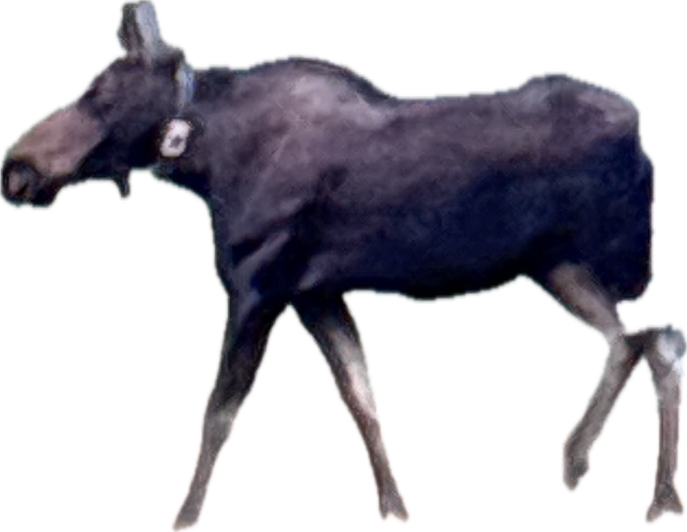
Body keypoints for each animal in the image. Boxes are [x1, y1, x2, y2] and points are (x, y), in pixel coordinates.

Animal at [1, 1, 684, 530]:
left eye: (98, 94)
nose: (16, 167)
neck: (207, 160)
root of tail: (638, 131)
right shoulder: (316, 294)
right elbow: (361, 396)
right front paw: (396, 511)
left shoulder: (257, 287)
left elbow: (218, 412)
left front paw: (184, 519)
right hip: (558, 267)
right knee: (652, 337)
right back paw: (635, 485)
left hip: (573, 263)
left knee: (643, 338)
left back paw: (601, 470)